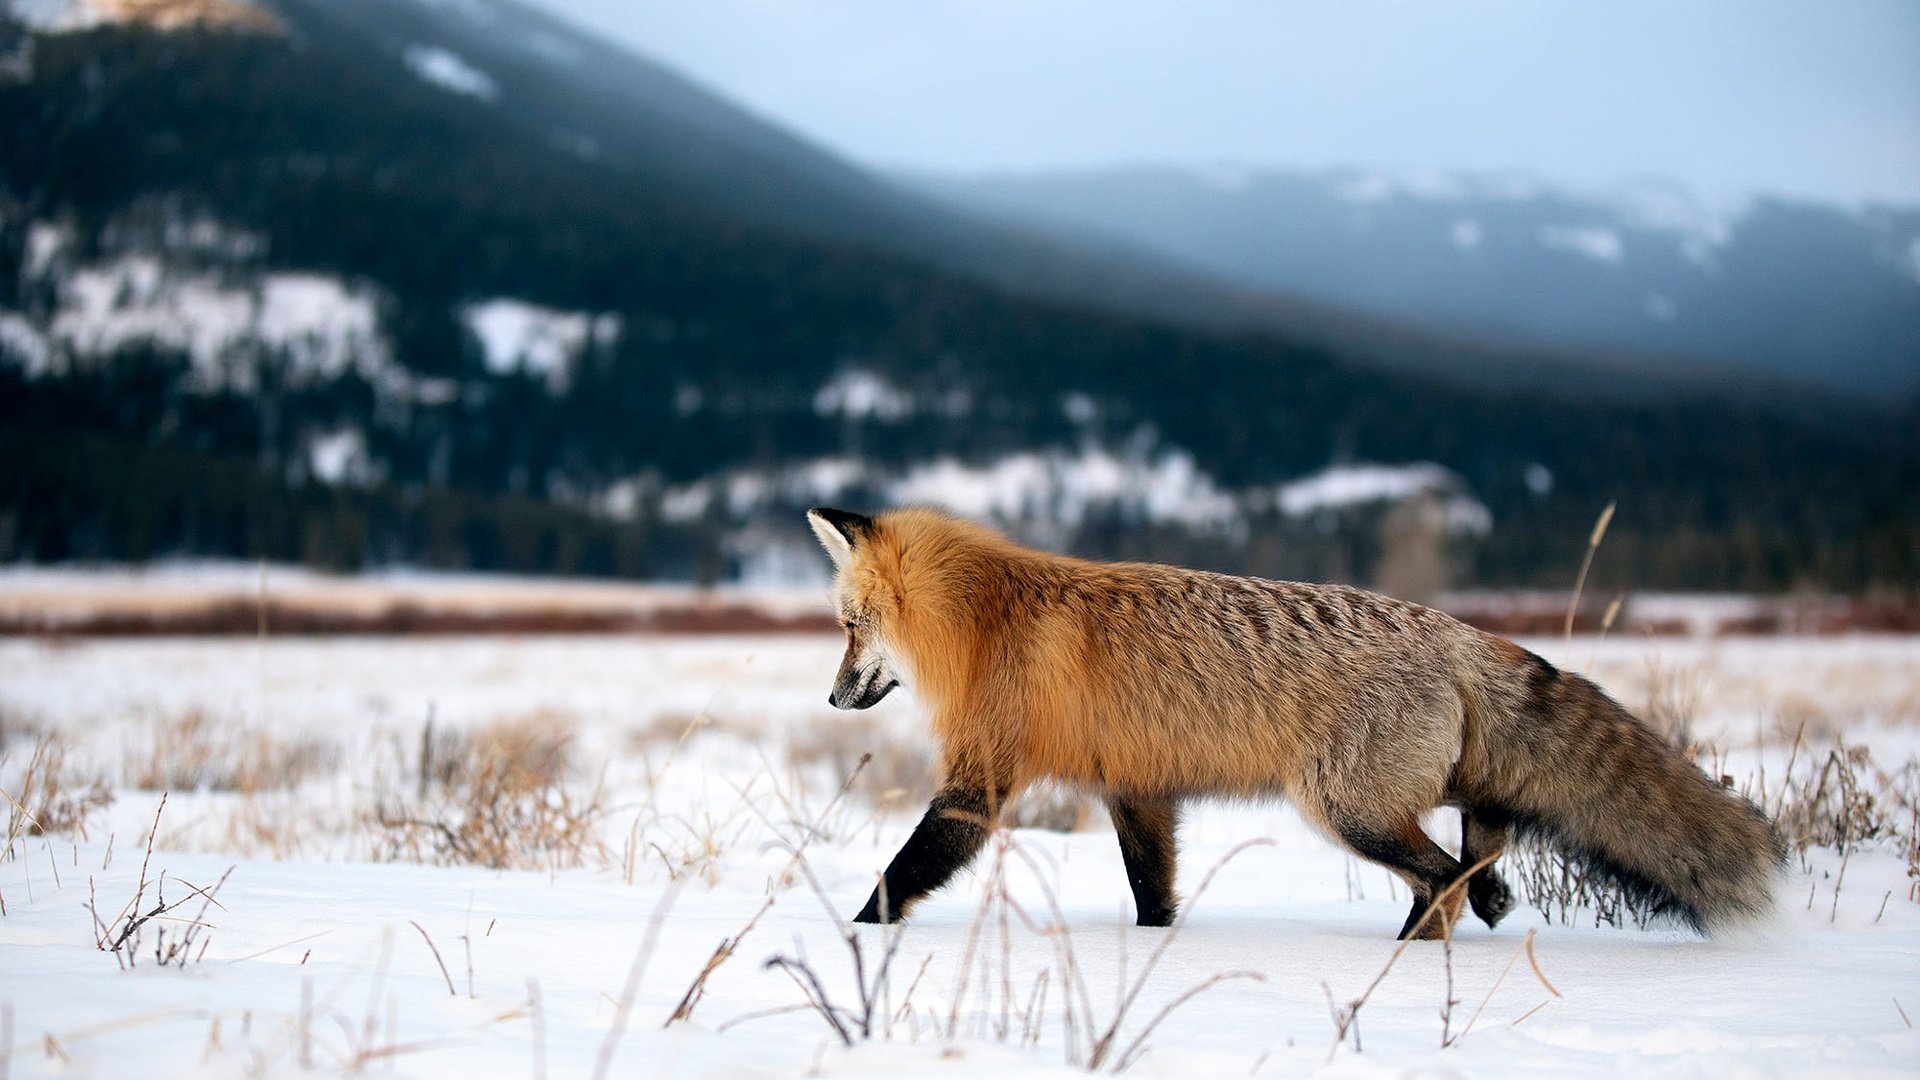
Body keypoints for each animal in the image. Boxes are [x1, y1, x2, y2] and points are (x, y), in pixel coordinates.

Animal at [806, 503, 1781, 933]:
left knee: (1441, 878)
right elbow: (1151, 886)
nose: (832, 698)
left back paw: (1411, 957)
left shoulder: (981, 782)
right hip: (1418, 794)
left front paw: (853, 938)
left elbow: (901, 870)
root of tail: (1459, 632)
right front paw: (1157, 948)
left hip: (1345, 808)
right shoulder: (1138, 787)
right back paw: (1490, 903)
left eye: (848, 627)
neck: (987, 619)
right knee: (1486, 847)